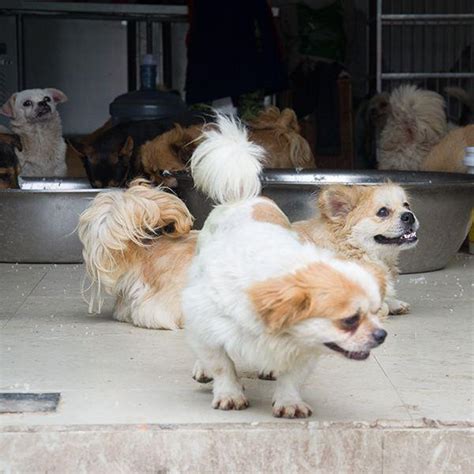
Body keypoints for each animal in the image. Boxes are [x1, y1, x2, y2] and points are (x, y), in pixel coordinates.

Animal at [180, 116, 386, 416]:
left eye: (375, 312)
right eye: (349, 320)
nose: (382, 334)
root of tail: (244, 198)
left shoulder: (305, 347)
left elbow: (292, 377)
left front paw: (289, 402)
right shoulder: (209, 325)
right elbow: (222, 365)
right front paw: (229, 393)